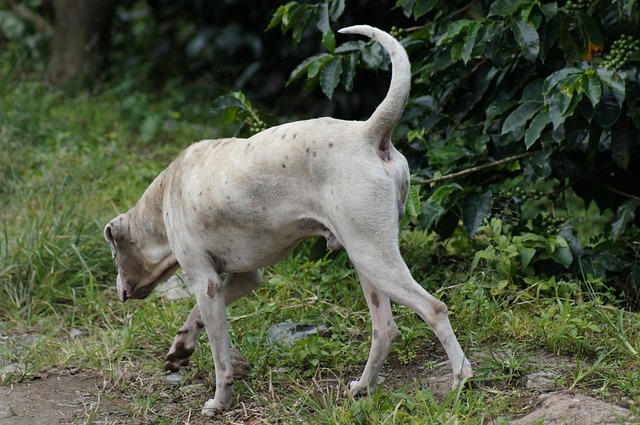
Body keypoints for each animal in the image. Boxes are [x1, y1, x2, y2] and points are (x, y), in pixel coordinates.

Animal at [105, 25, 472, 414]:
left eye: (114, 254)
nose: (118, 292)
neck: (163, 199)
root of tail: (369, 132)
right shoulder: (241, 279)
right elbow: (197, 317)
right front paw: (180, 349)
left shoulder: (206, 283)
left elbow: (220, 356)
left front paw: (219, 401)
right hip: (367, 262)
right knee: (385, 329)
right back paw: (363, 387)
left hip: (375, 258)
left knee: (434, 309)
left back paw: (461, 380)